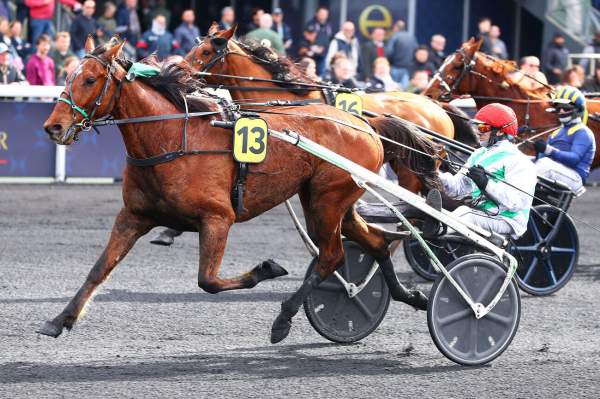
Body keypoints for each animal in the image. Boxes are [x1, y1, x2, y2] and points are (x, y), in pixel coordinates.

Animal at [39, 38, 438, 344]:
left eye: (90, 79)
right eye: (68, 75)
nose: (53, 126)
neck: (173, 138)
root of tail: (365, 124)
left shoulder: (218, 218)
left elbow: (209, 281)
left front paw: (267, 268)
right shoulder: (133, 216)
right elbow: (99, 270)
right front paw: (59, 320)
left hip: (328, 201)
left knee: (332, 256)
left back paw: (284, 318)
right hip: (330, 199)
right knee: (375, 242)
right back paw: (409, 296)